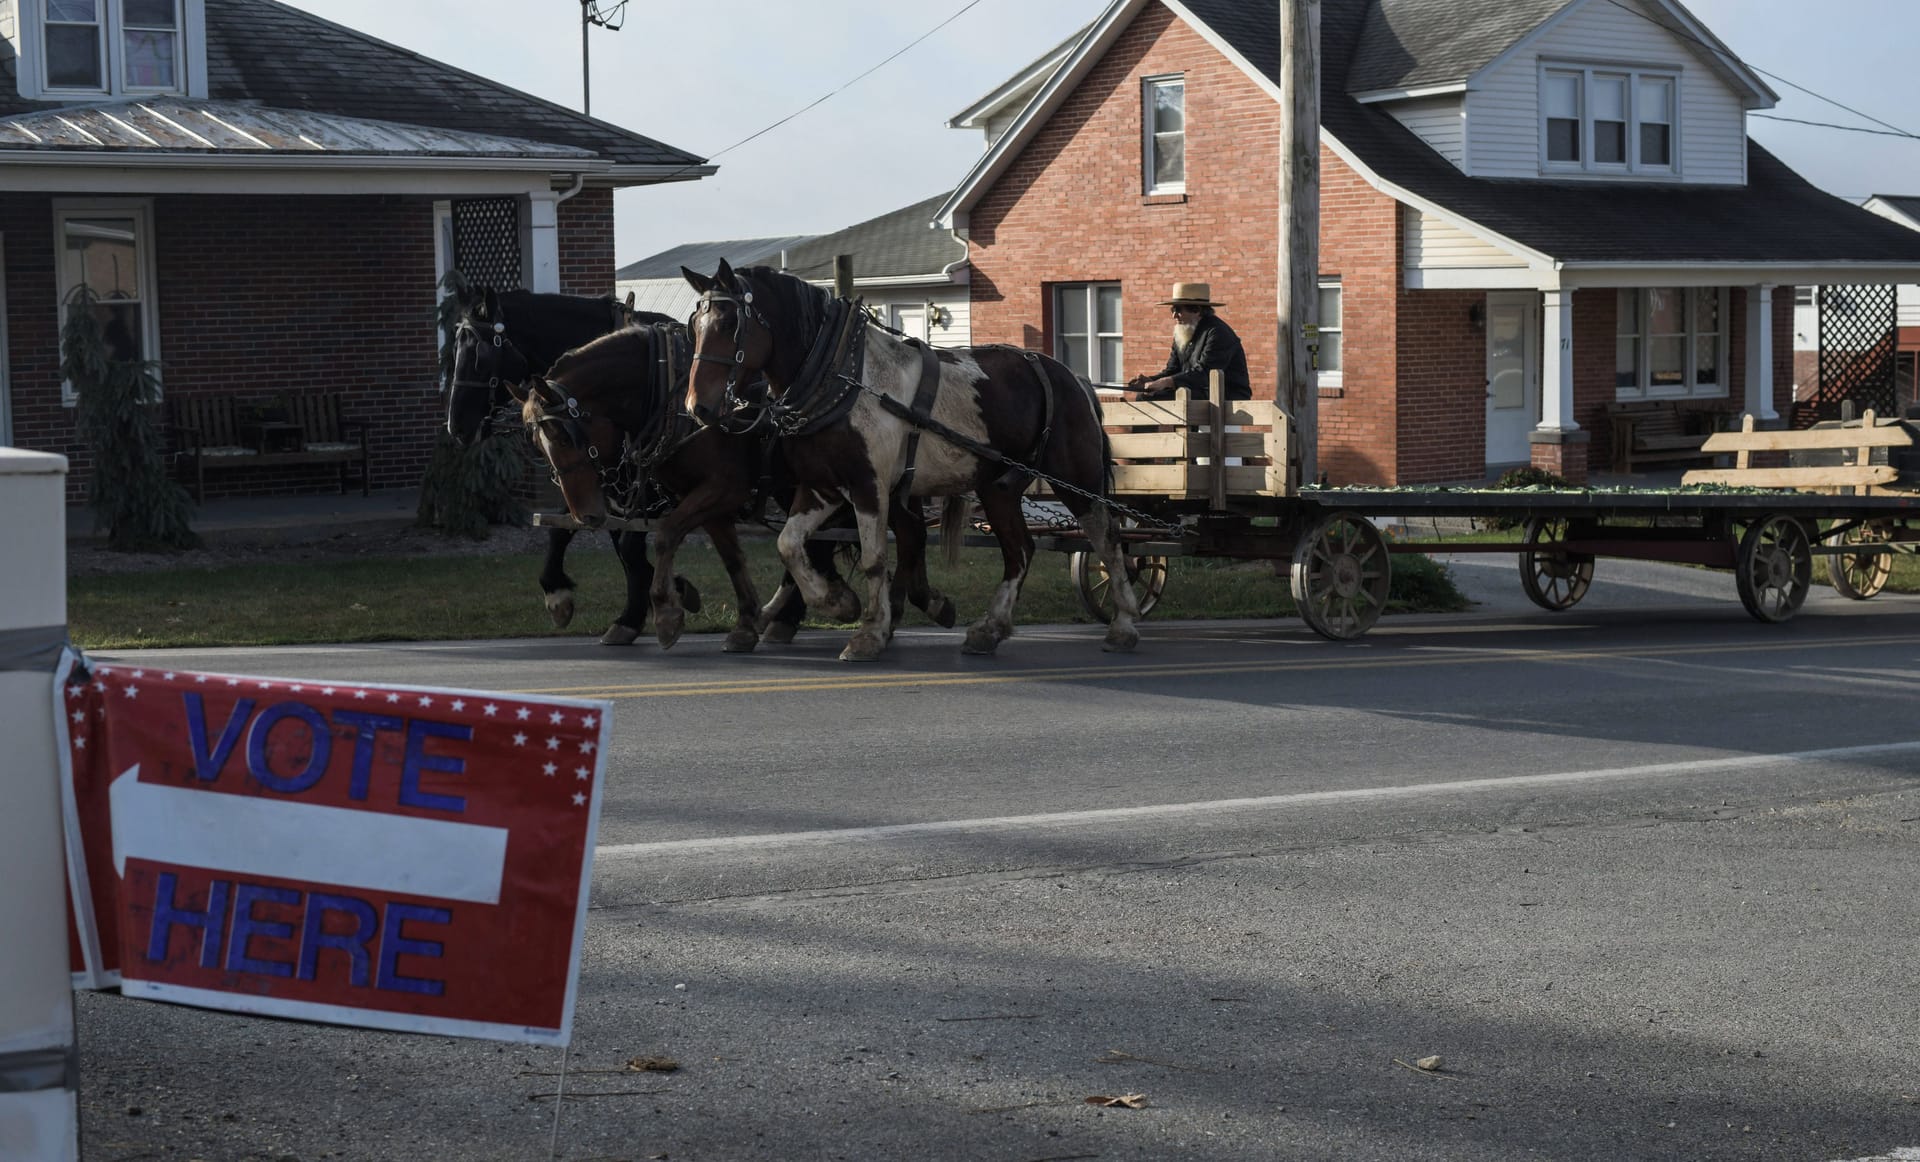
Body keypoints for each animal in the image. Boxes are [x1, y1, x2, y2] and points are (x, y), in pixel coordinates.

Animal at [441, 282, 698, 645]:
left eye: (480, 356)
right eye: (453, 353)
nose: (457, 427)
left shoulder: (643, 486)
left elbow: (630, 547)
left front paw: (654, 604)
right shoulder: (599, 483)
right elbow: (571, 531)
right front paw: (561, 593)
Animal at [514, 326, 956, 649]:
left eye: (564, 434)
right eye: (537, 441)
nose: (586, 512)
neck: (672, 399)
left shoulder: (720, 489)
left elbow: (662, 535)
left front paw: (666, 611)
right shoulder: (700, 498)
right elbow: (730, 557)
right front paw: (741, 620)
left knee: (897, 533)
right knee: (891, 534)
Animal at [683, 261, 1136, 660]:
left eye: (728, 325)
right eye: (694, 326)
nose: (697, 407)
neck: (842, 376)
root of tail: (1073, 377)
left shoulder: (869, 486)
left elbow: (873, 559)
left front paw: (868, 632)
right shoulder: (821, 487)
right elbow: (790, 545)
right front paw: (836, 602)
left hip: (1076, 478)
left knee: (1107, 539)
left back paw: (1124, 625)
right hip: (999, 486)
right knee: (1019, 550)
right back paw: (989, 629)